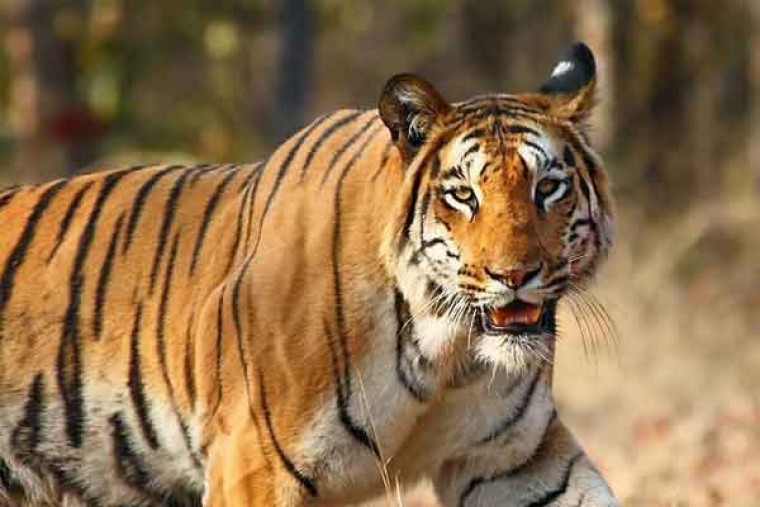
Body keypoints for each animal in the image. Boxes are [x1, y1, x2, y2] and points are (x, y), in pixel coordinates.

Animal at [0, 42, 617, 506]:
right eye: (463, 195)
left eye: (548, 187)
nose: (515, 274)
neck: (446, 353)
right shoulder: (252, 467)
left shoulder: (515, 460)